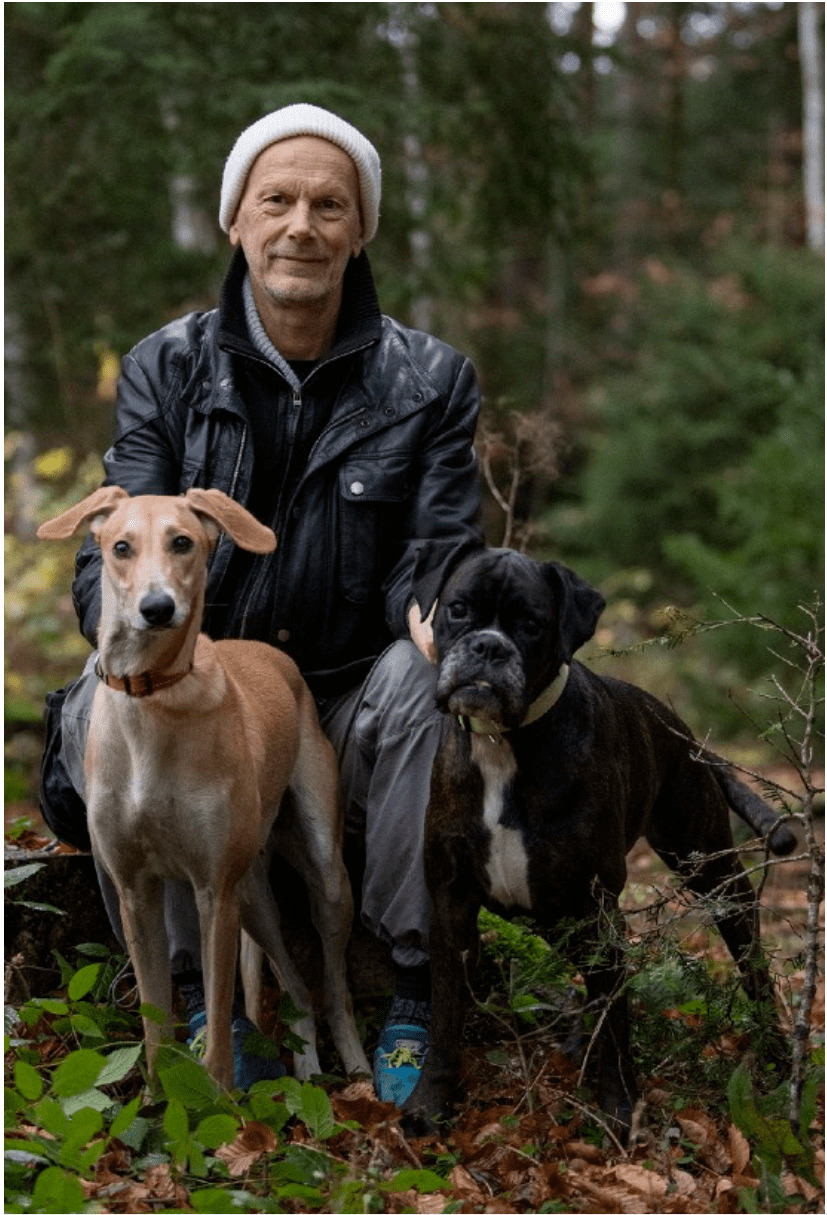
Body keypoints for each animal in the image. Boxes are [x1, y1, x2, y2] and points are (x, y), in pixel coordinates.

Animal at [38, 488, 366, 1088]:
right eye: (121, 547)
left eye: (183, 542)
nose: (157, 608)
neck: (153, 696)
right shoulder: (136, 891)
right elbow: (155, 1030)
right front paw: (160, 1100)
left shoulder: (214, 891)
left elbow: (216, 1034)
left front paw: (219, 1101)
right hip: (254, 896)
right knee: (295, 988)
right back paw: (306, 1071)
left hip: (321, 873)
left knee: (330, 985)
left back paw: (355, 1068)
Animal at [405, 551, 791, 1137]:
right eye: (459, 609)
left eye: (531, 624)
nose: (489, 646)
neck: (503, 744)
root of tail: (679, 728)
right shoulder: (452, 904)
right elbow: (446, 1012)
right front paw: (431, 1103)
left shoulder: (597, 907)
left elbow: (617, 1020)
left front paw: (619, 1108)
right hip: (557, 918)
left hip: (709, 874)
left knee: (752, 967)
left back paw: (780, 1055)